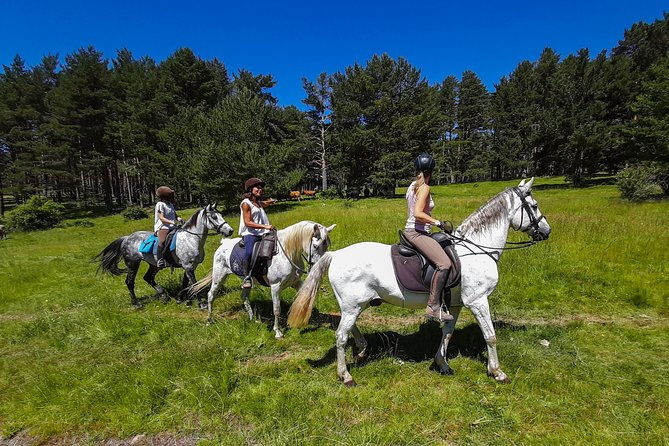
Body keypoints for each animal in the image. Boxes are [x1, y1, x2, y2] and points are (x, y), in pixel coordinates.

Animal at [95, 203, 234, 308]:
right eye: (214, 217)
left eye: (221, 215)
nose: (230, 231)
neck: (191, 238)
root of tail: (126, 238)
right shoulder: (188, 266)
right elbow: (194, 284)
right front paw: (201, 304)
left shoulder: (189, 266)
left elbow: (185, 283)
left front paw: (181, 298)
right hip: (132, 264)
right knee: (130, 282)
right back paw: (136, 303)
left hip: (154, 265)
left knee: (148, 278)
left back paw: (163, 295)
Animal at [186, 220, 336, 338]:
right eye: (315, 246)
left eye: (326, 245)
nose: (320, 267)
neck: (286, 253)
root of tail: (224, 243)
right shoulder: (275, 287)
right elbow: (276, 308)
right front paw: (277, 332)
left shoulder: (296, 282)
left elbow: (307, 298)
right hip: (219, 276)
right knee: (211, 295)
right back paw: (209, 320)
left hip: (246, 282)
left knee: (244, 296)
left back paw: (253, 319)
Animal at [288, 178, 551, 386]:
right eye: (534, 206)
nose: (547, 231)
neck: (477, 249)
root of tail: (336, 254)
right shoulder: (478, 301)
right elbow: (490, 336)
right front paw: (497, 372)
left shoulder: (454, 304)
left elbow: (447, 333)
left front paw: (442, 364)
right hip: (353, 306)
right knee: (341, 336)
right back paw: (346, 376)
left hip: (354, 305)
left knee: (349, 329)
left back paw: (361, 350)